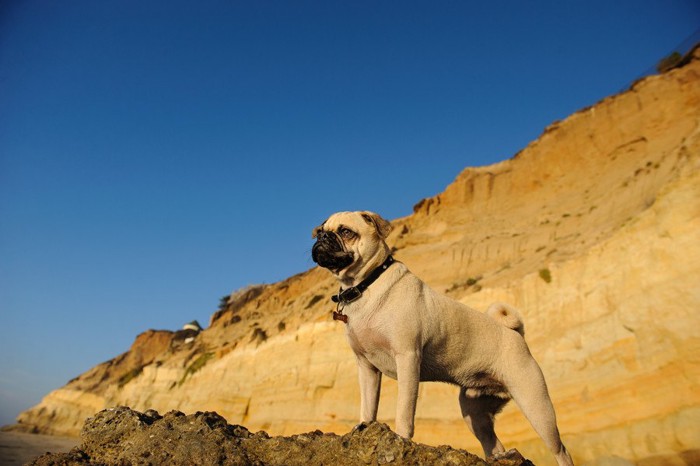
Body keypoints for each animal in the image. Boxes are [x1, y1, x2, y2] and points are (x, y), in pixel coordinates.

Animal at [314, 211, 576, 466]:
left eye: (346, 232)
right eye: (319, 231)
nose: (323, 238)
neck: (366, 285)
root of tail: (515, 333)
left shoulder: (407, 358)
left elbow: (404, 410)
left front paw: (400, 438)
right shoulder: (367, 367)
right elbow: (368, 405)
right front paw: (364, 426)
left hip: (536, 405)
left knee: (561, 450)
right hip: (475, 414)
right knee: (493, 443)